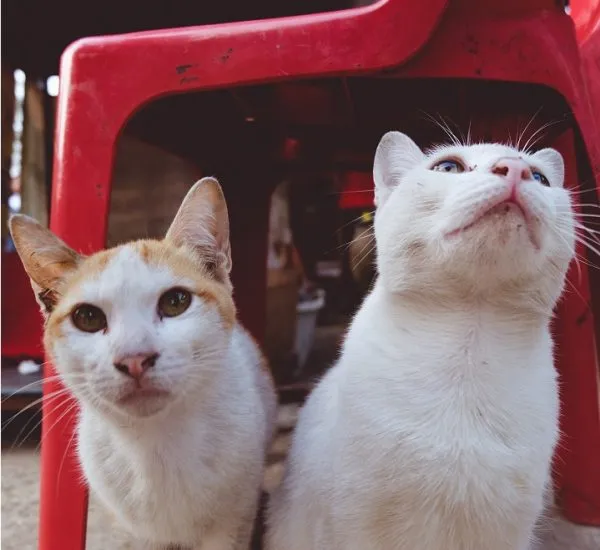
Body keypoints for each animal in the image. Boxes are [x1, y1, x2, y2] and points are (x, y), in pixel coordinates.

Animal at [9, 179, 276, 548]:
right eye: (88, 317)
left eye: (176, 301)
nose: (134, 358)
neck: (154, 444)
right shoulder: (139, 531)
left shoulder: (233, 519)